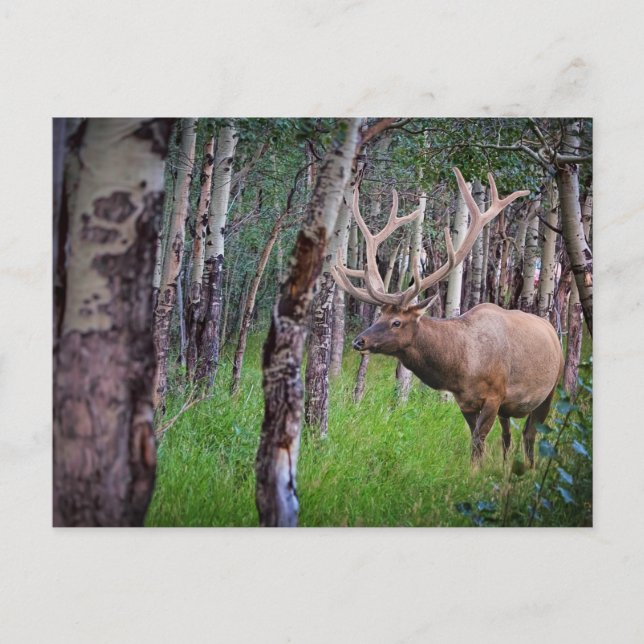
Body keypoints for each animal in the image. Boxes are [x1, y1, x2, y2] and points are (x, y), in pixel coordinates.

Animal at [331, 168, 564, 466]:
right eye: (379, 315)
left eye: (397, 322)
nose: (359, 341)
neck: (462, 367)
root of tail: (552, 331)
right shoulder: (465, 402)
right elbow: (477, 443)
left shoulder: (495, 394)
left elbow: (477, 443)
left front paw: (474, 474)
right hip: (510, 408)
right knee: (508, 437)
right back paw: (506, 469)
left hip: (551, 389)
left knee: (530, 435)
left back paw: (529, 470)